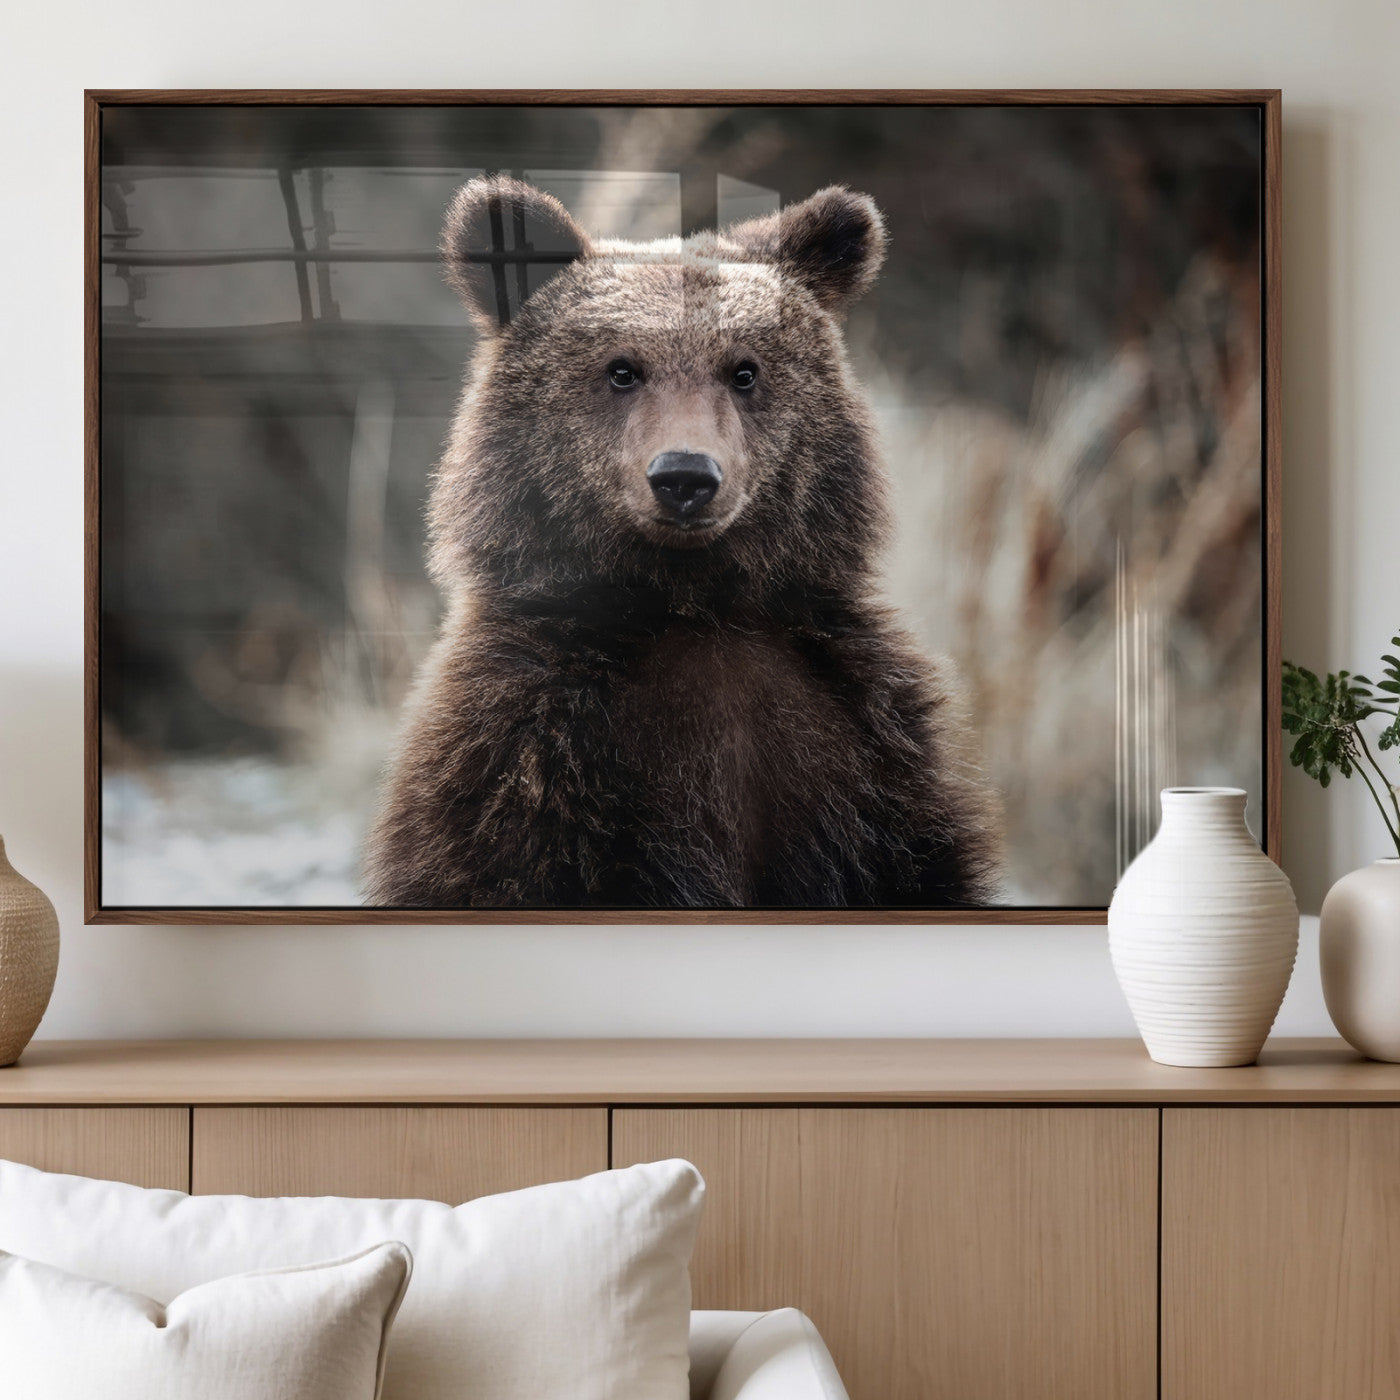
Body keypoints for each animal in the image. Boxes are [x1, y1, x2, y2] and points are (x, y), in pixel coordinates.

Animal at [363, 175, 1001, 909]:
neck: (693, 604)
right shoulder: (527, 756)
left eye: (744, 371)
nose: (685, 477)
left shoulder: (864, 749)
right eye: (621, 369)